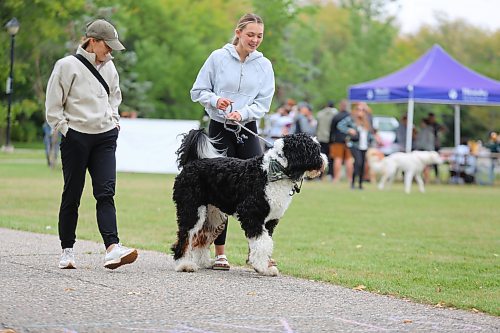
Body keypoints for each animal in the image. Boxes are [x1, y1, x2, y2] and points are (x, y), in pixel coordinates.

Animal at [172, 128, 328, 276]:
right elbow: (262, 242)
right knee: (185, 236)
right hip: (192, 211)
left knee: (201, 238)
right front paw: (261, 267)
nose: (325, 161)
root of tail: (192, 162)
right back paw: (184, 264)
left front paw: (266, 267)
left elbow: (266, 242)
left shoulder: (270, 220)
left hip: (213, 215)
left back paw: (204, 262)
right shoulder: (251, 213)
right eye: (314, 149)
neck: (275, 170)